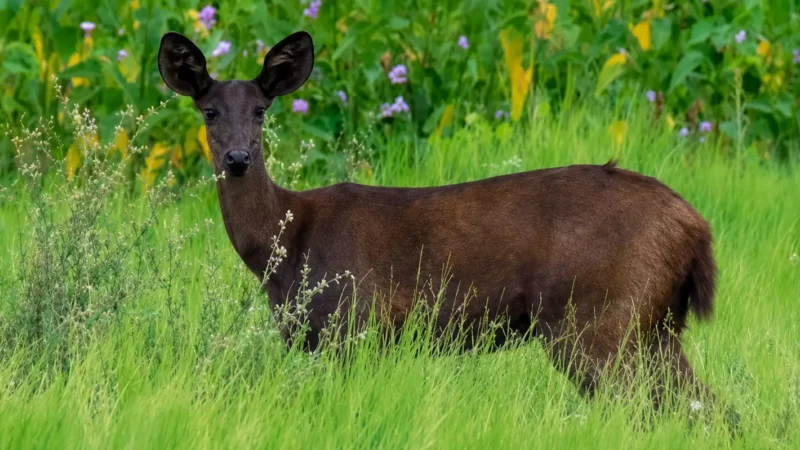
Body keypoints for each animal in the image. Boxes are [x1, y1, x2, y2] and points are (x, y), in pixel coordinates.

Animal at [158, 30, 725, 415]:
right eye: (209, 111)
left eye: (260, 110)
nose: (237, 158)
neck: (286, 248)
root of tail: (695, 227)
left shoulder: (354, 324)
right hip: (653, 324)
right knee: (709, 410)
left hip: (600, 317)